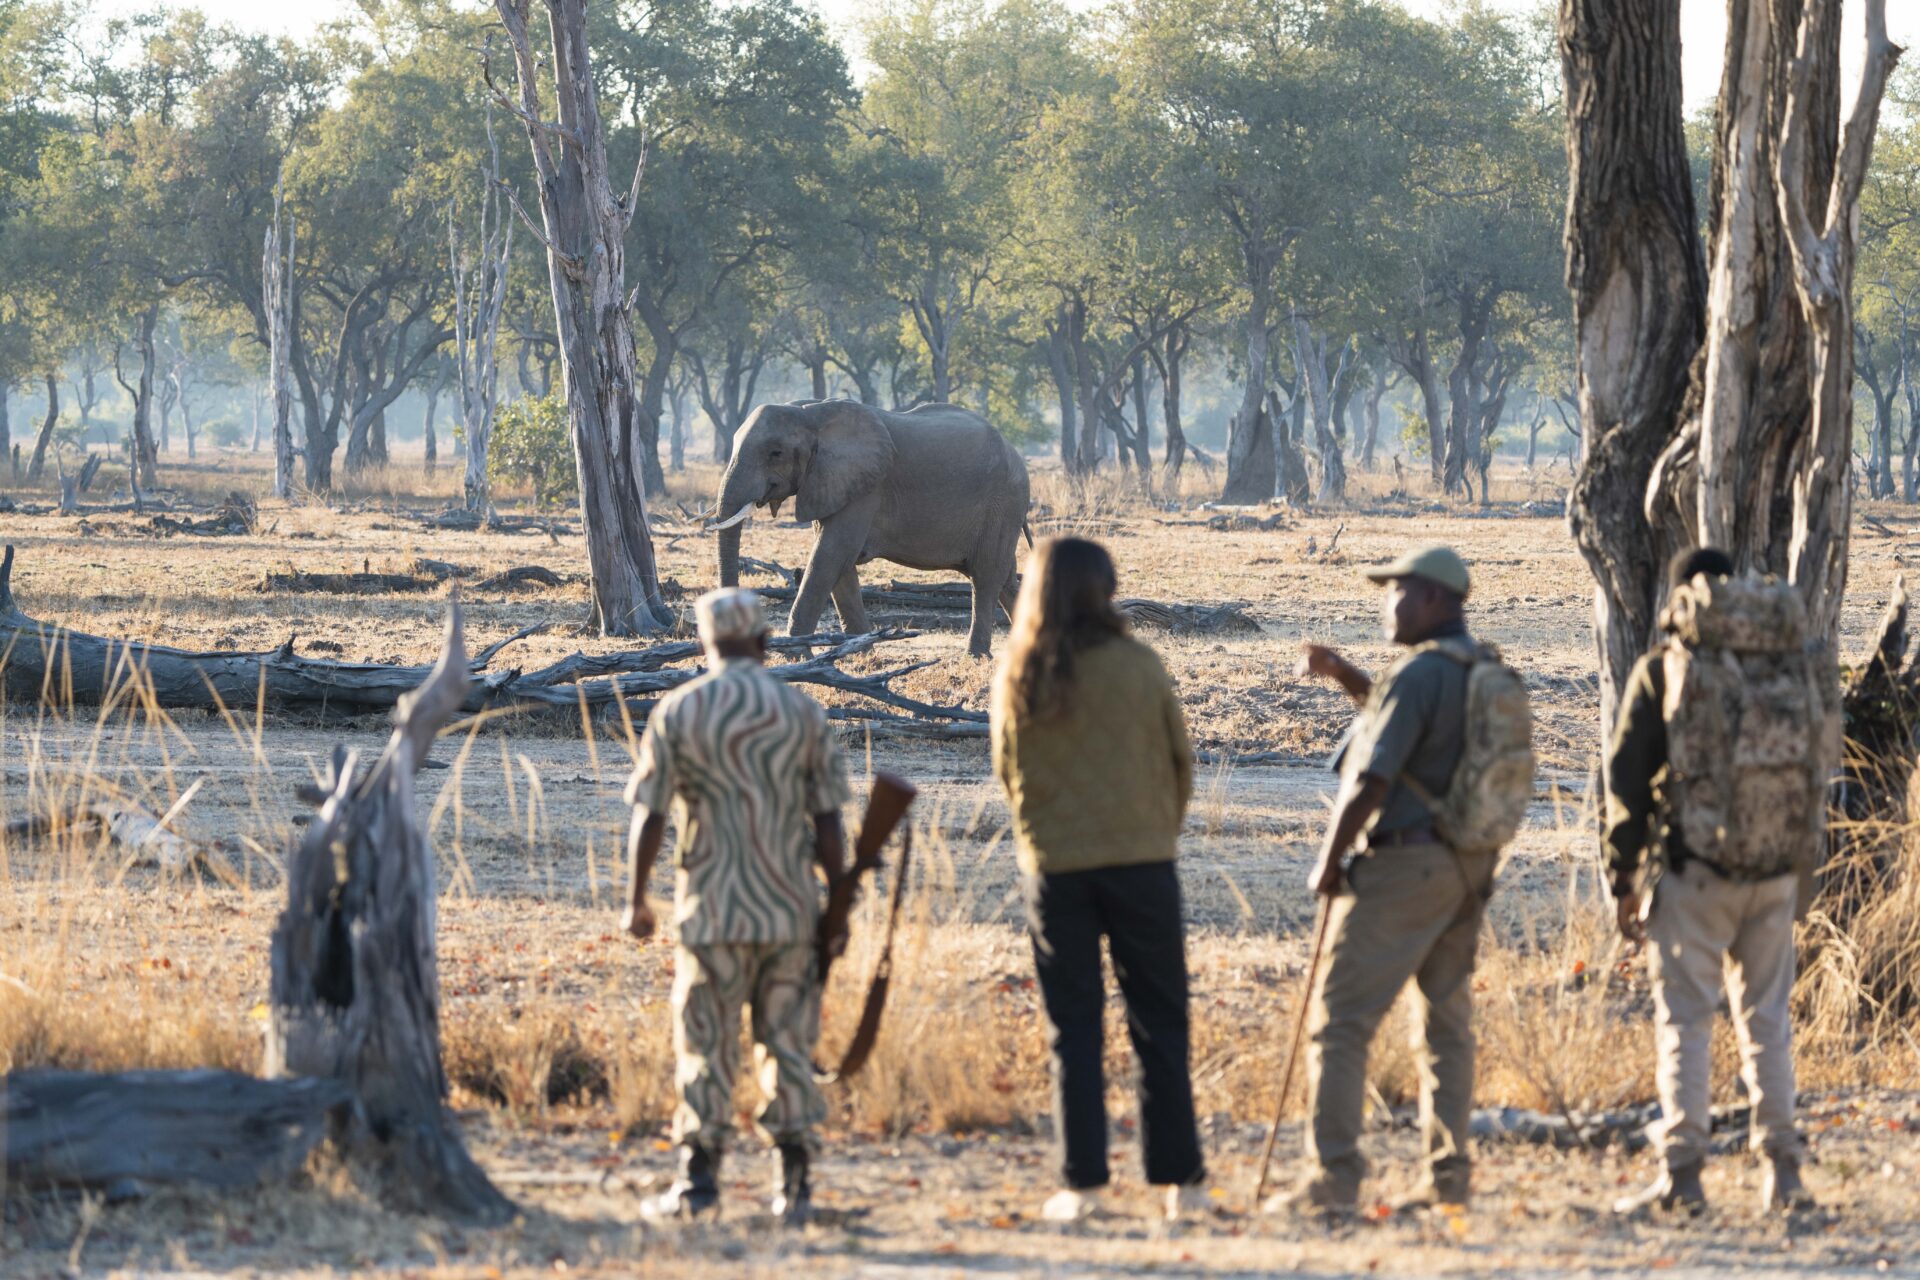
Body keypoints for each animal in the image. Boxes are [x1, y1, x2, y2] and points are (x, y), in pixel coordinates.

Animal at [711, 399, 1032, 657]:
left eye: (775, 453)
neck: (810, 413)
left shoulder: (866, 488)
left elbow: (829, 555)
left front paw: (796, 655)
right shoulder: (831, 484)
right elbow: (838, 563)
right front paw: (860, 652)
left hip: (1003, 503)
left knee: (985, 576)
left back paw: (976, 656)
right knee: (1005, 578)